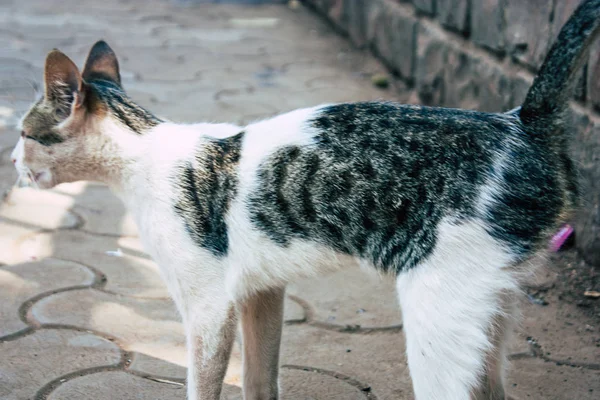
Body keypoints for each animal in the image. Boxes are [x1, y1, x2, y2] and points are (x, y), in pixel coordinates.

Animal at [10, 1, 600, 398]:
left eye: (24, 133)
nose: (11, 161)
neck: (145, 152)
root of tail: (520, 123)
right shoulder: (260, 292)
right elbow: (259, 377)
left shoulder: (208, 307)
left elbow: (204, 383)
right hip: (489, 307)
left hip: (438, 312)